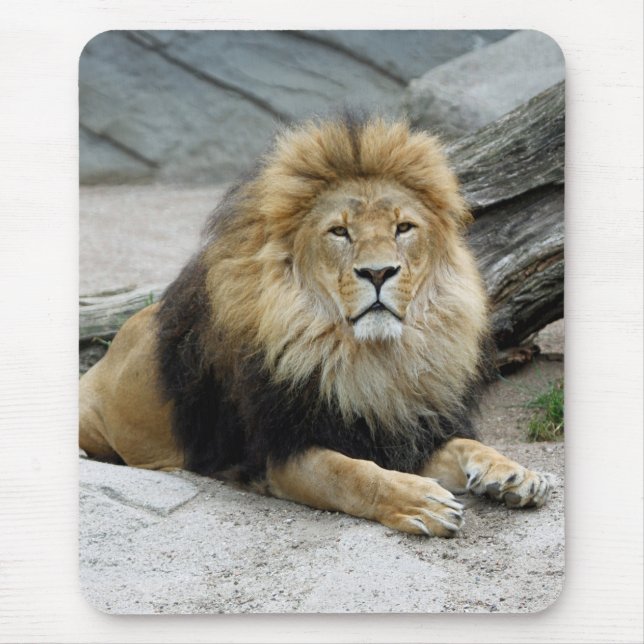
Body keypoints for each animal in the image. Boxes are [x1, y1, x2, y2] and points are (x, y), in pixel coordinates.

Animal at [80, 114, 552, 537]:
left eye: (403, 228)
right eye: (340, 232)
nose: (378, 272)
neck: (373, 359)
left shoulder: (400, 429)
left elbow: (467, 445)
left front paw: (514, 474)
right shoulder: (280, 452)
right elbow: (352, 474)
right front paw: (420, 501)